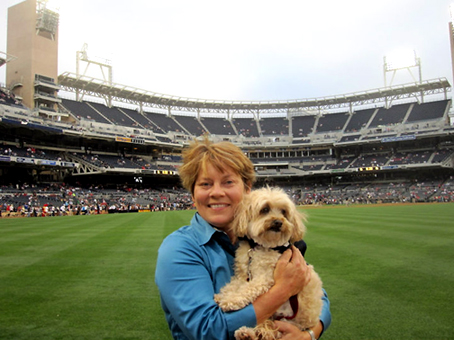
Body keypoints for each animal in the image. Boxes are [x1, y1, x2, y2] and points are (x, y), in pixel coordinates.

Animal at [215, 187, 324, 338]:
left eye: (284, 211)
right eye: (265, 209)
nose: (278, 222)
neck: (260, 246)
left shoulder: (265, 277)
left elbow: (247, 289)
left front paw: (230, 300)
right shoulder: (243, 274)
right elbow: (233, 285)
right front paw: (222, 295)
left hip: (287, 321)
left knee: (272, 332)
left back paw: (249, 334)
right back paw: (246, 334)